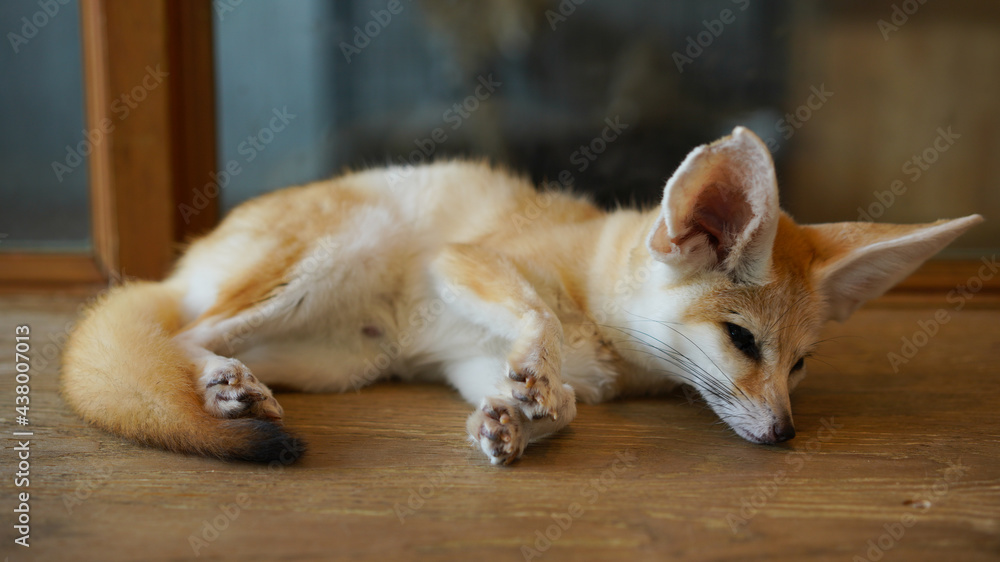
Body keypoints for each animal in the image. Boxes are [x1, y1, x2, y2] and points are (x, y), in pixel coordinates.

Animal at [61, 127, 981, 465]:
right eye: (742, 341)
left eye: (801, 365)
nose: (787, 436)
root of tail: (181, 262)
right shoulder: (466, 261)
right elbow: (537, 321)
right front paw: (537, 377)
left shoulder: (468, 360)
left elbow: (561, 403)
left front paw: (516, 419)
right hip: (332, 258)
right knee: (183, 335)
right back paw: (218, 384)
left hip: (346, 360)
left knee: (194, 341)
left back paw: (231, 387)